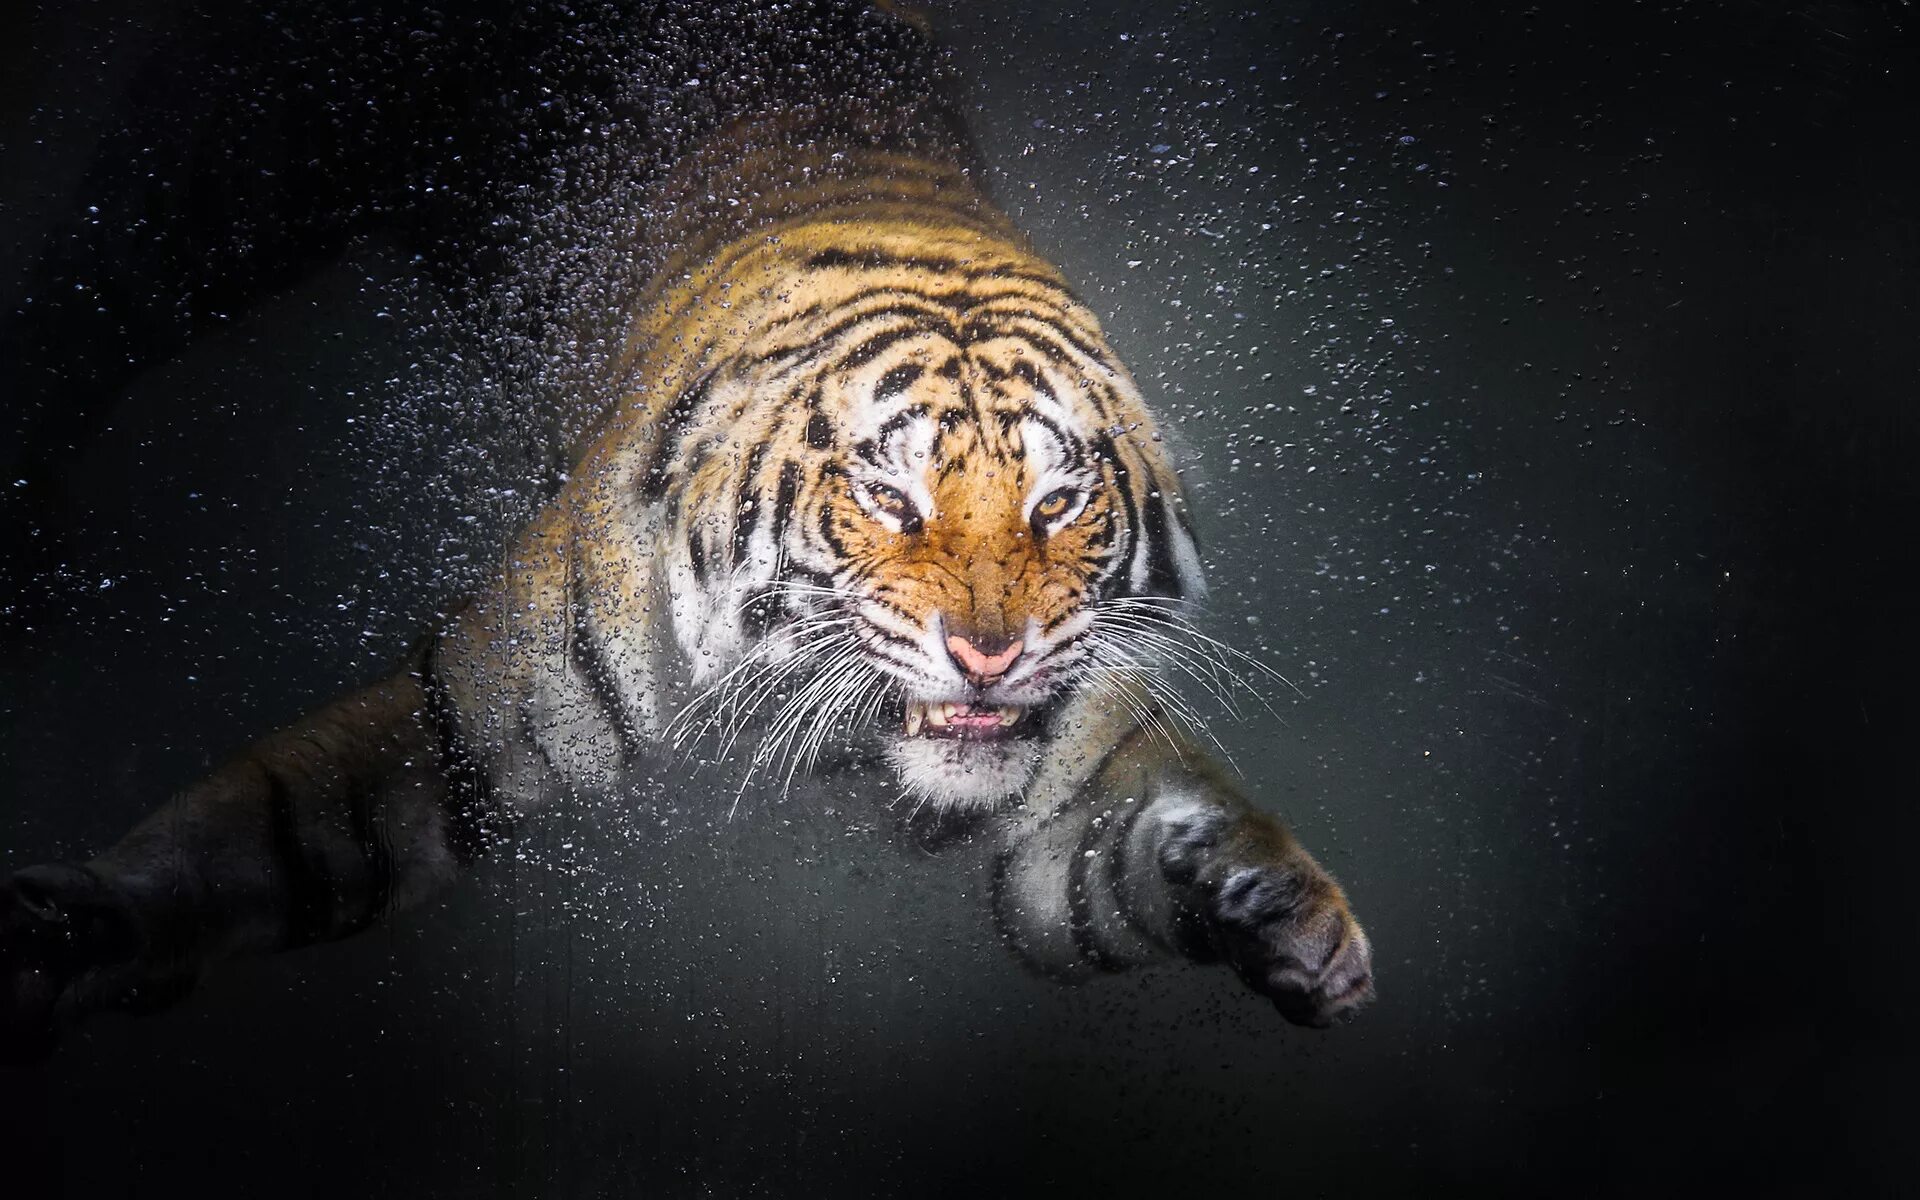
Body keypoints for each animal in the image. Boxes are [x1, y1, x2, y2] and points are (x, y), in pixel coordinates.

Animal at [0, 0, 1373, 1059]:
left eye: (1057, 503)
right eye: (891, 498)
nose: (990, 656)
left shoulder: (1072, 784)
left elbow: (1137, 841)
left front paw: (1289, 918)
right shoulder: (475, 710)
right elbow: (272, 824)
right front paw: (81, 926)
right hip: (220, 170)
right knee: (82, 307)